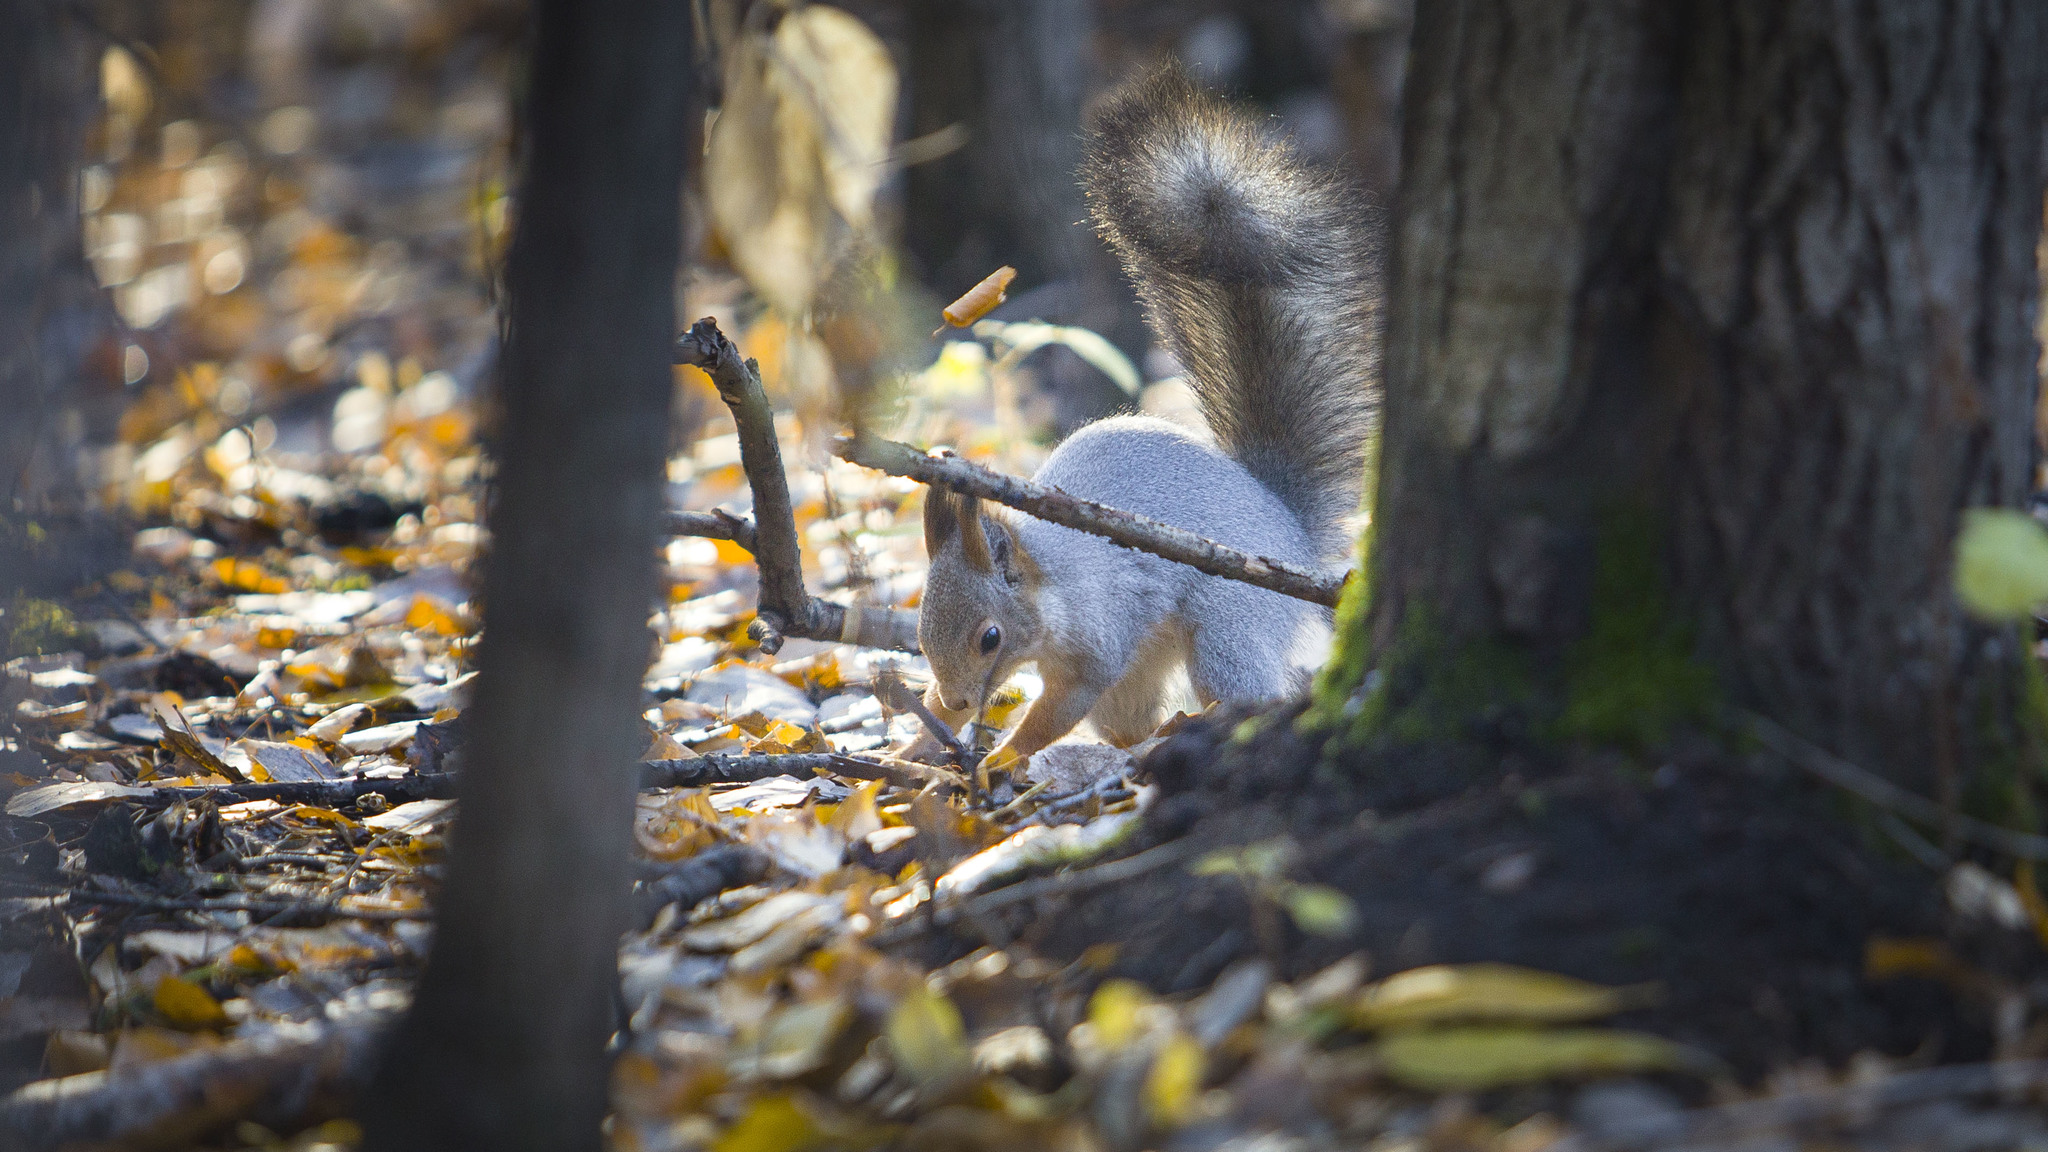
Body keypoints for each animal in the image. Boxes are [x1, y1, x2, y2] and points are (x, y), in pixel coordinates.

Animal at [913, 58, 1376, 766]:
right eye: (919, 630)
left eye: (990, 637)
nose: (963, 702)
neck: (1052, 577)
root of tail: (1287, 526)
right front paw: (915, 742)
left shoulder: (1100, 639)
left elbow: (1059, 710)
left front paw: (1000, 758)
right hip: (1143, 670)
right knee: (1128, 721)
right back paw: (1152, 738)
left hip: (1229, 622)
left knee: (1245, 687)